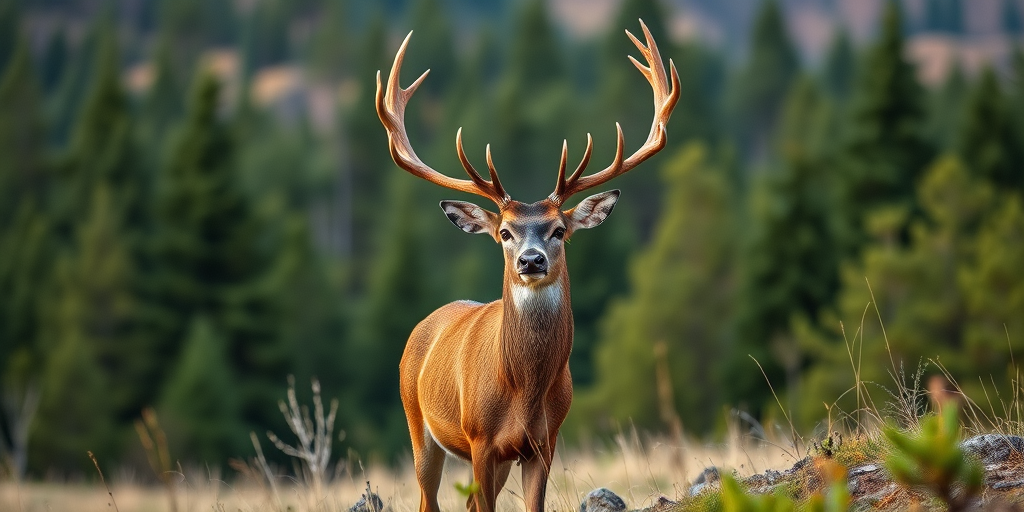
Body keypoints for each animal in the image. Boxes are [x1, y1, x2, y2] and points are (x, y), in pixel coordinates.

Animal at [376, 20, 679, 512]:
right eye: (504, 232)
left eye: (558, 230)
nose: (530, 259)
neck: (523, 391)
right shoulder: (480, 440)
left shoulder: (544, 442)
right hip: (418, 423)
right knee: (428, 498)